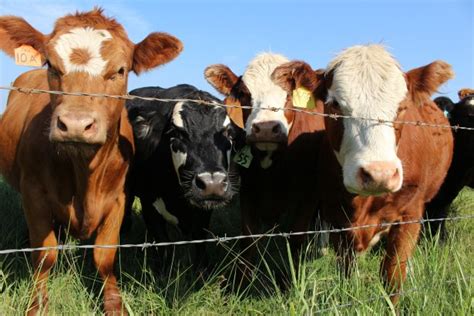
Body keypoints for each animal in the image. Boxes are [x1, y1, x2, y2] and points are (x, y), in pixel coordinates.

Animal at [0, 8, 182, 314]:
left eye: (120, 70)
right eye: (51, 65)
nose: (75, 124)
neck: (83, 173)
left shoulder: (119, 198)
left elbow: (105, 257)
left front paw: (114, 304)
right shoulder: (33, 193)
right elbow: (44, 255)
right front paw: (37, 304)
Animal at [124, 83, 243, 266]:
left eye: (229, 134)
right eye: (176, 133)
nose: (213, 184)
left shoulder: (203, 212)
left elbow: (200, 243)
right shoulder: (148, 203)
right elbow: (163, 246)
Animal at [204, 53, 326, 282]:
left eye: (288, 95)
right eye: (244, 94)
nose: (267, 128)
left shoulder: (310, 191)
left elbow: (297, 238)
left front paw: (291, 279)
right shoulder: (248, 189)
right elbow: (248, 238)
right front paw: (242, 282)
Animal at [272, 45, 454, 304]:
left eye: (402, 107)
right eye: (335, 105)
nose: (379, 174)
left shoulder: (410, 214)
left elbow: (393, 275)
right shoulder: (337, 218)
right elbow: (346, 272)